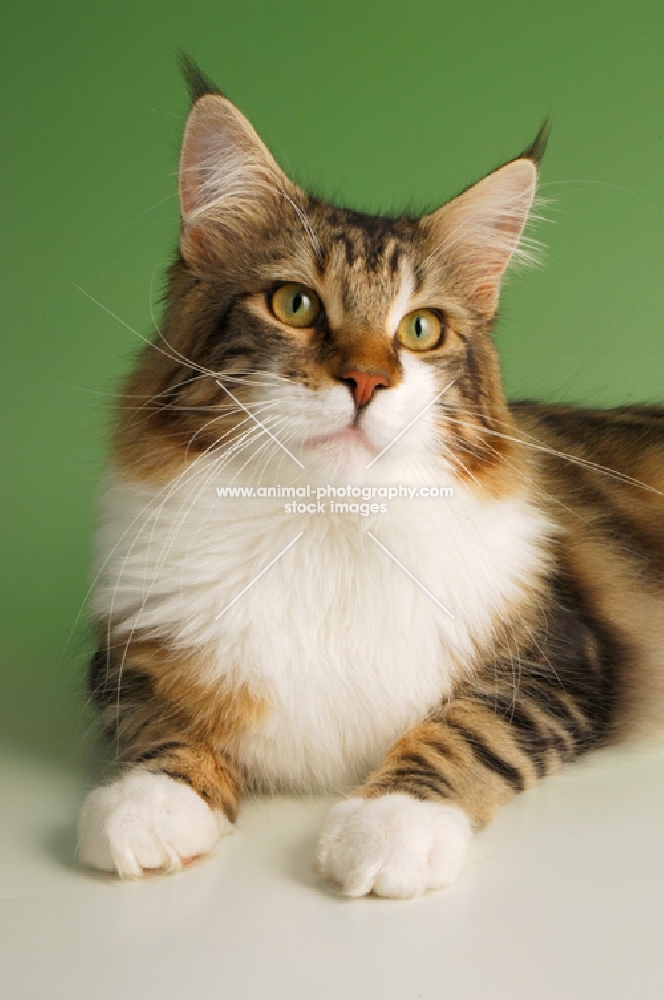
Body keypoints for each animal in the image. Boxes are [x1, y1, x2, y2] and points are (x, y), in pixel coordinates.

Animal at [76, 58, 664, 896]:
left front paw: (390, 825)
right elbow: (159, 719)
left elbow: (464, 731)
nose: (365, 381)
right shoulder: (123, 651)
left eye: (420, 328)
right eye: (294, 303)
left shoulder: (561, 661)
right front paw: (150, 803)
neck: (326, 520)